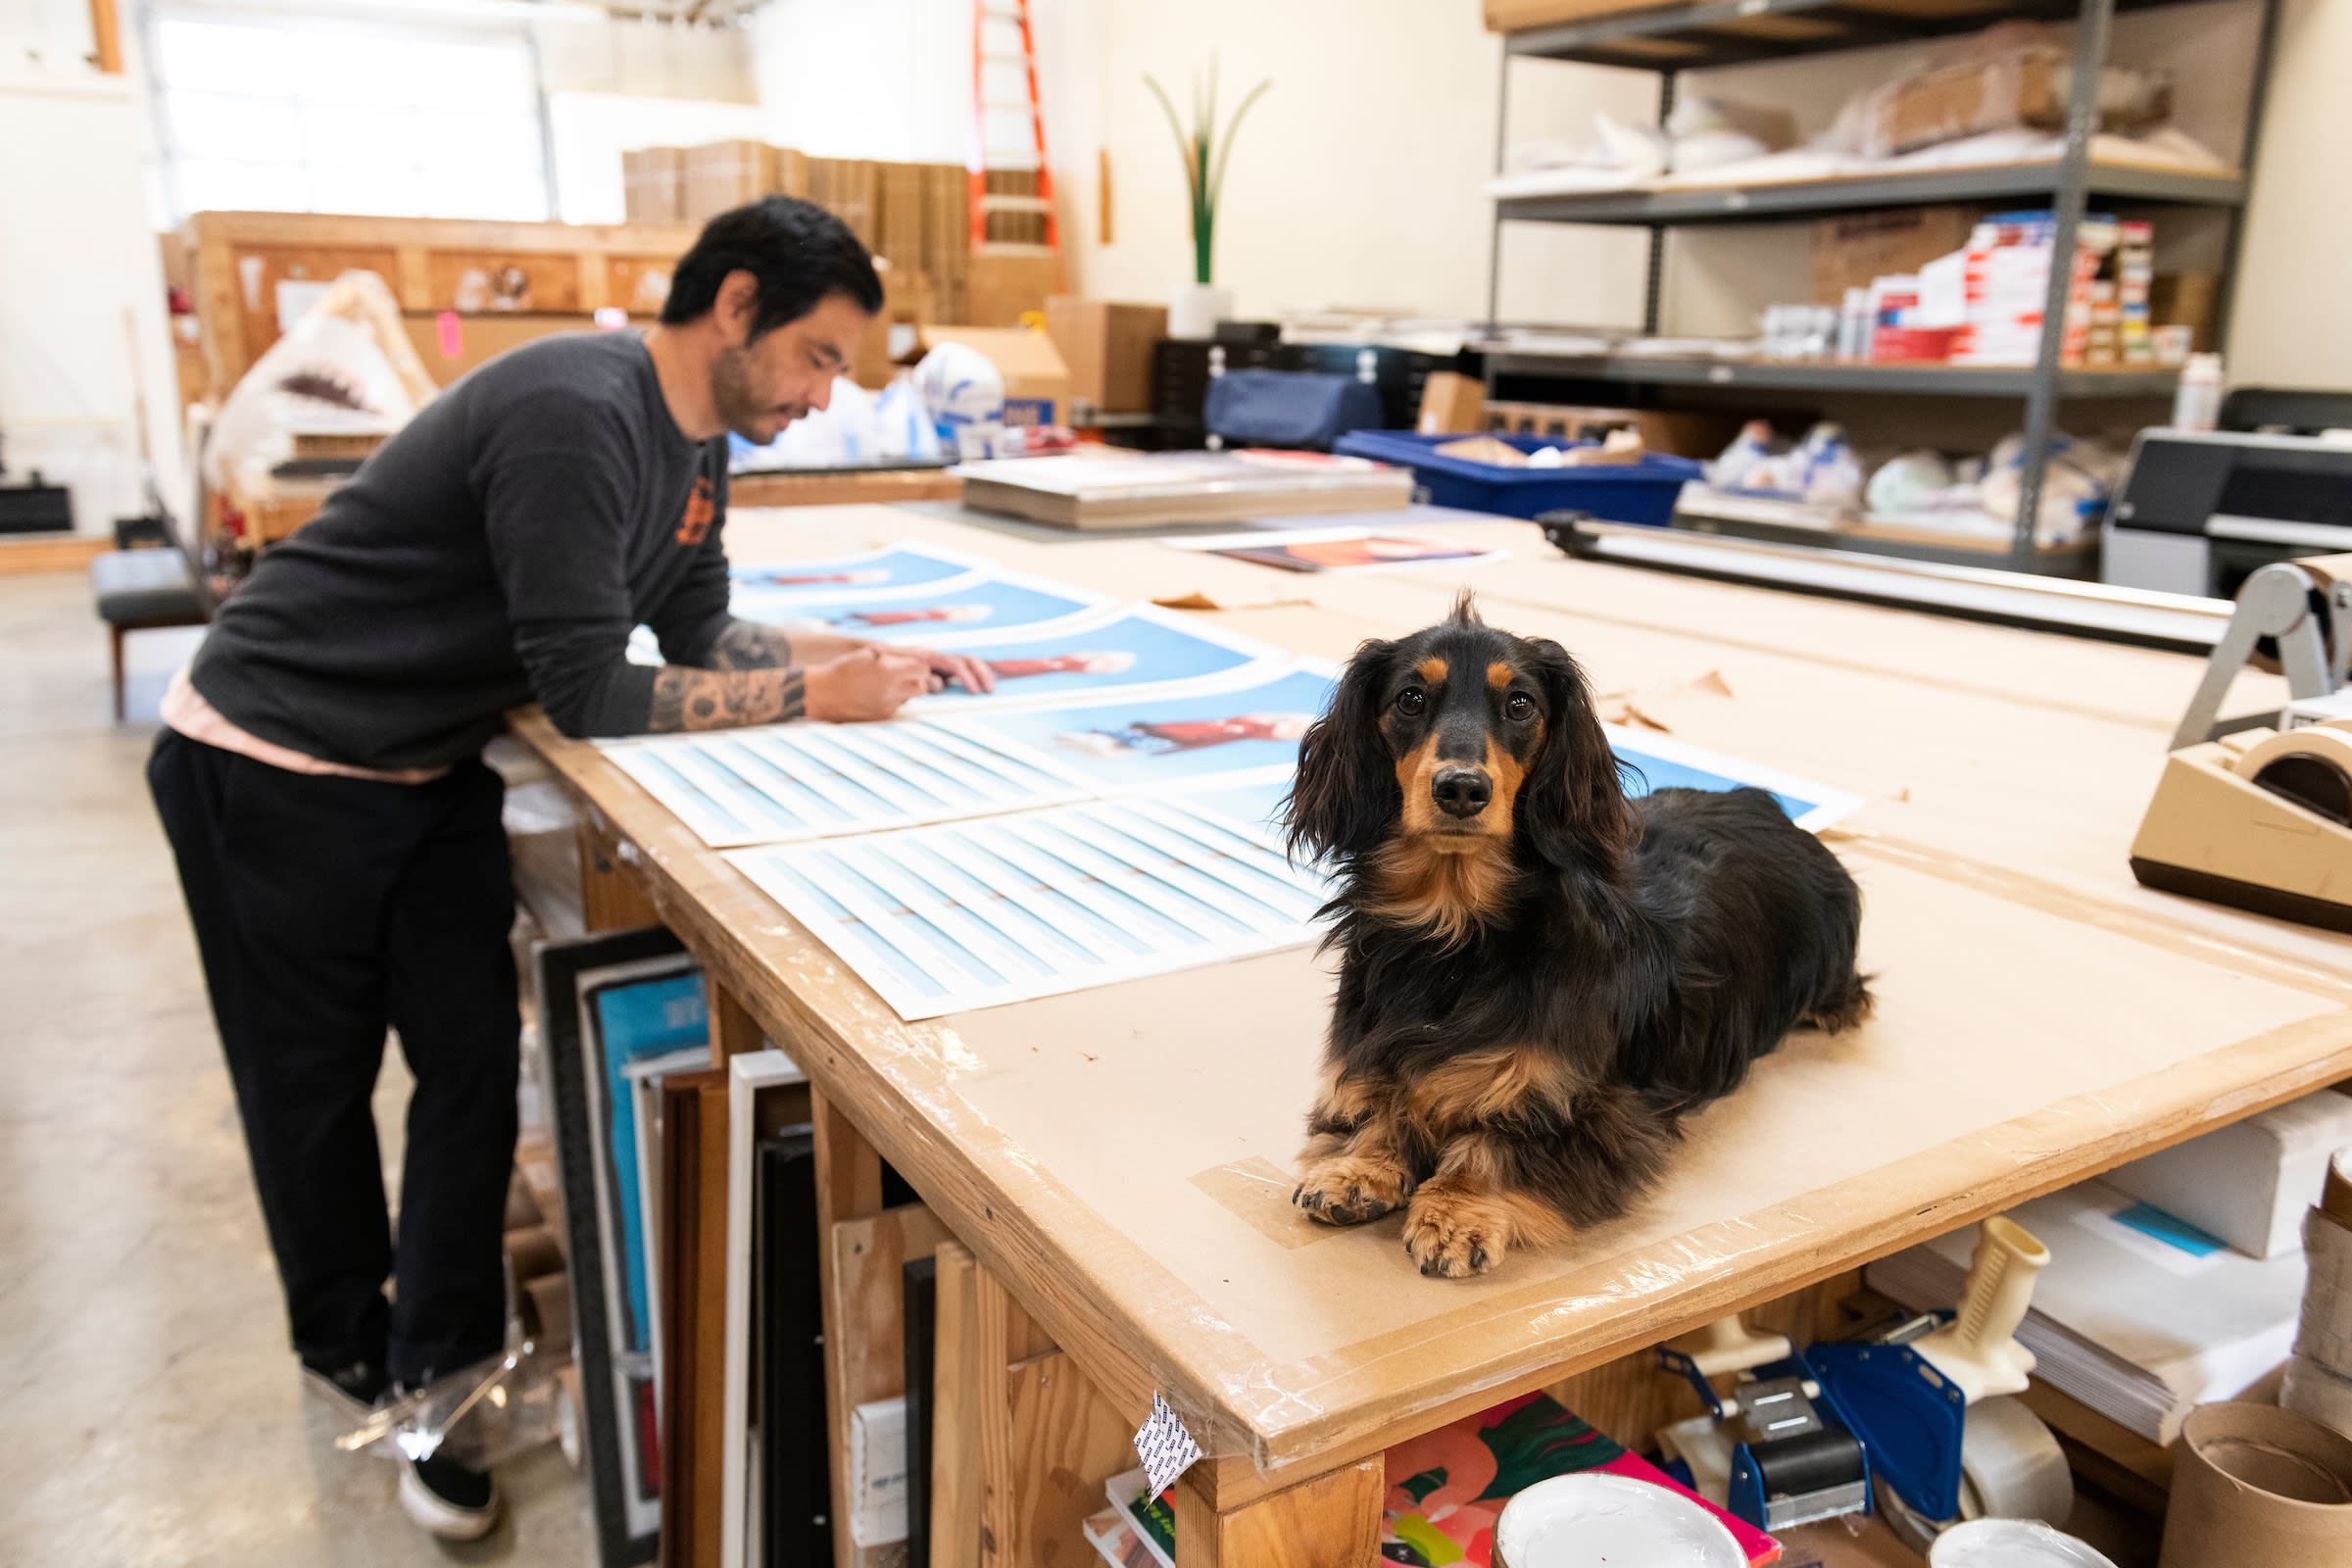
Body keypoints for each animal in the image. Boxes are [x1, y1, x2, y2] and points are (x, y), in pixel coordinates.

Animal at [1279, 597, 1862, 1278]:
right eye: (1410, 698)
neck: (1456, 932)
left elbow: (1494, 1141)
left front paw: (1456, 1213)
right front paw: (1356, 1168)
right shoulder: (1372, 1048)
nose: (1461, 789)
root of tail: (1764, 804)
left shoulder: (1592, 1111)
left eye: (1520, 704)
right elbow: (1384, 1102)